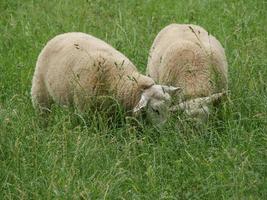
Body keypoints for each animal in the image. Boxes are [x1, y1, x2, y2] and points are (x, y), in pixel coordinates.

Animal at [32, 31, 181, 122]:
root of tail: (62, 34)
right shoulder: (85, 110)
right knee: (42, 112)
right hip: (40, 90)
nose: (163, 132)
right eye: (155, 110)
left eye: (169, 106)